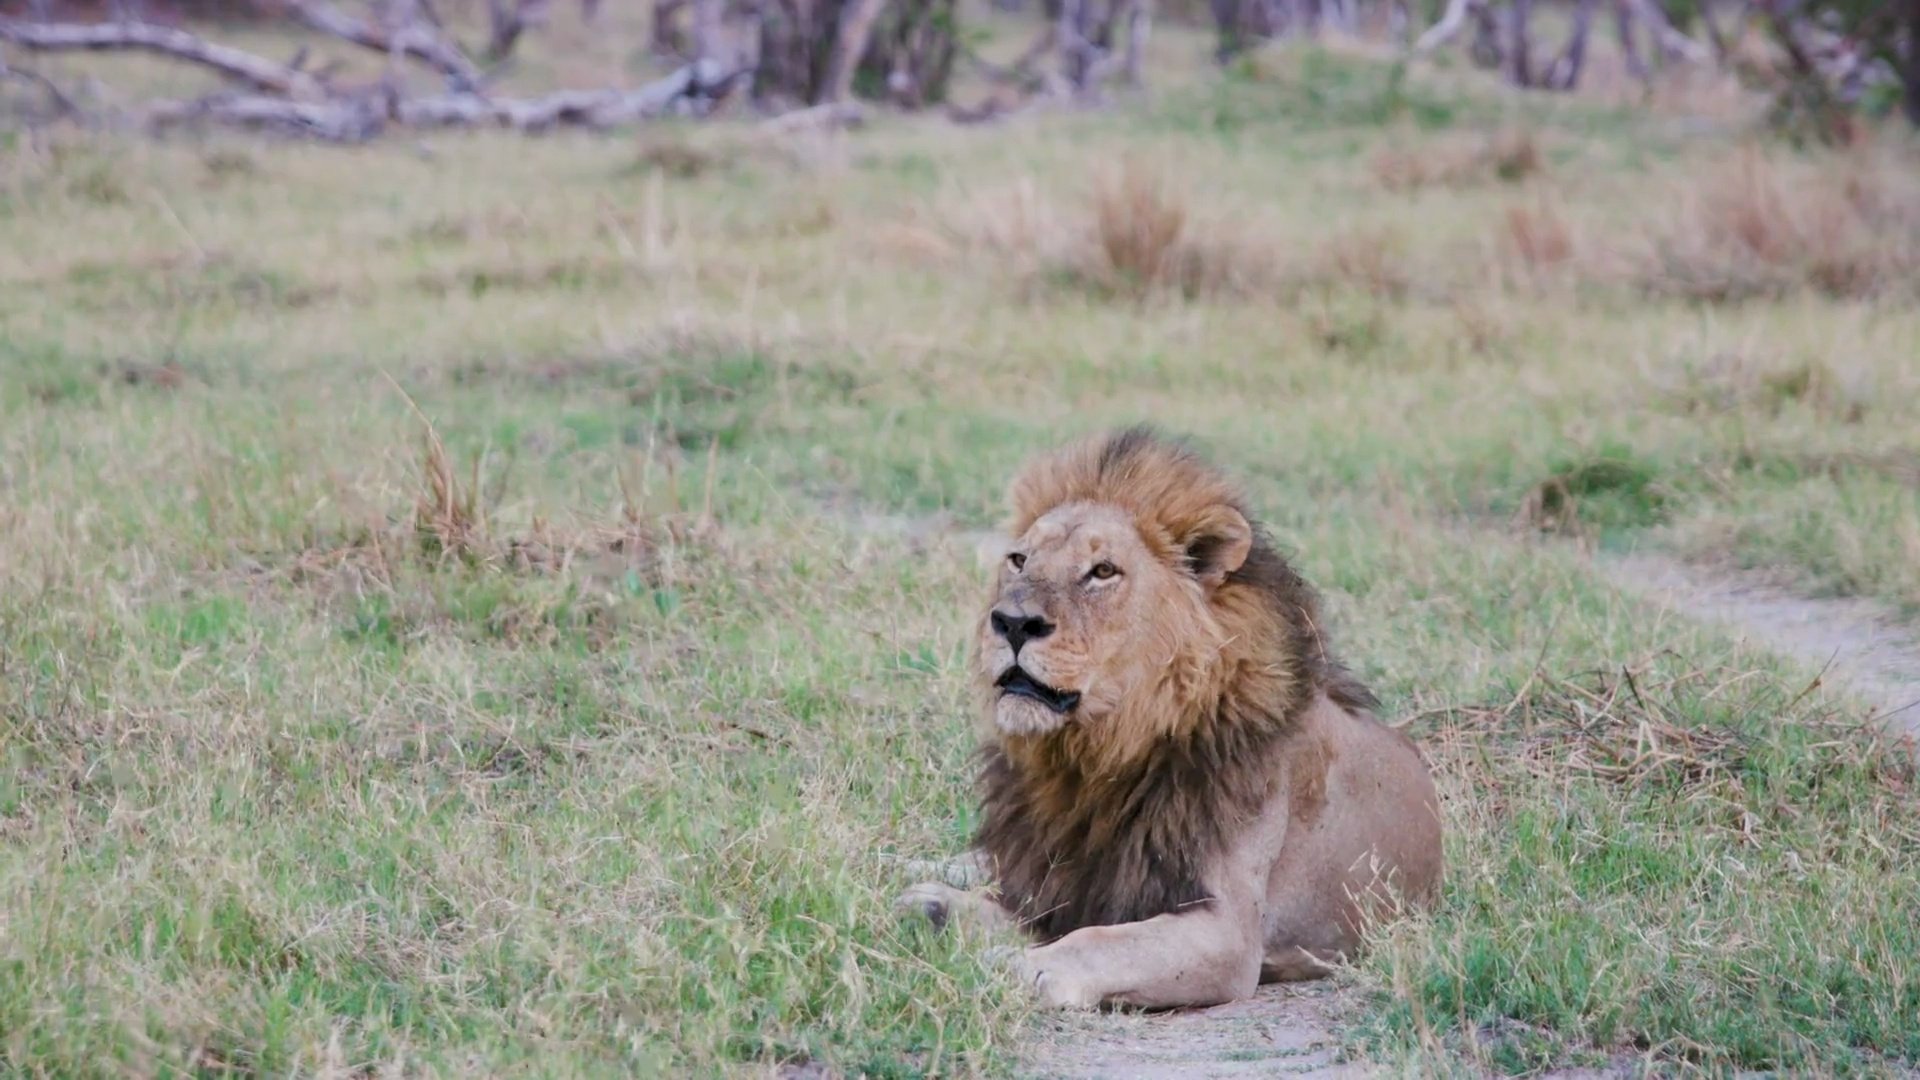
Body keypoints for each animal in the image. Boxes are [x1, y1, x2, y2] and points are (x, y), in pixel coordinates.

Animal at [898, 424, 1443, 1006]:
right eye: (1019, 561)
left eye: (1102, 572)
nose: (1011, 622)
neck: (1097, 755)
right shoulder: (1061, 877)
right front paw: (935, 907)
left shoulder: (1230, 935)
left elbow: (1100, 940)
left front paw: (1020, 966)